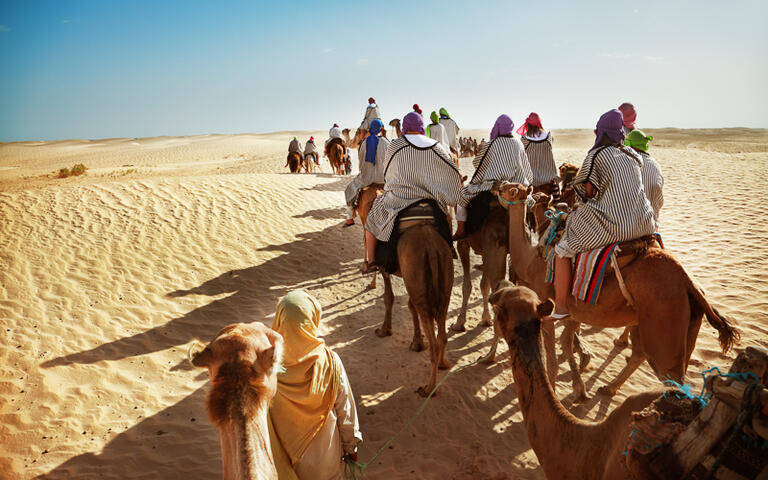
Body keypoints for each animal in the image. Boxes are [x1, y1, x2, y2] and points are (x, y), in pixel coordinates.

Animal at [492, 182, 736, 400]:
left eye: (510, 188)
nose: (496, 185)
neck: (531, 258)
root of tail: (688, 283)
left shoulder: (546, 304)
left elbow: (552, 354)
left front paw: (556, 390)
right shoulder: (574, 311)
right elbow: (567, 343)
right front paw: (580, 389)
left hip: (665, 326)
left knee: (671, 375)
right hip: (674, 324)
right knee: (642, 355)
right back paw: (609, 388)